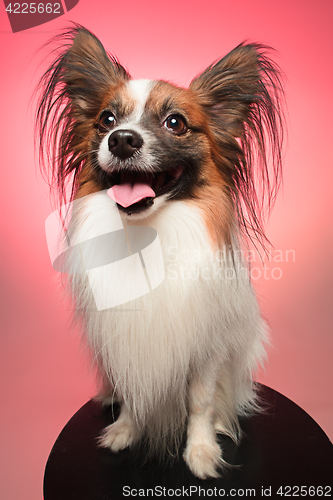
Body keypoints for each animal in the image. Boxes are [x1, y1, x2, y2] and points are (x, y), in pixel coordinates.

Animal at [37, 24, 284, 480]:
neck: (147, 235)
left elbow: (200, 402)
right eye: (107, 120)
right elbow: (135, 392)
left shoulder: (206, 347)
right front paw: (124, 429)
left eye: (176, 123)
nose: (121, 140)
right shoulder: (126, 342)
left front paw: (201, 451)